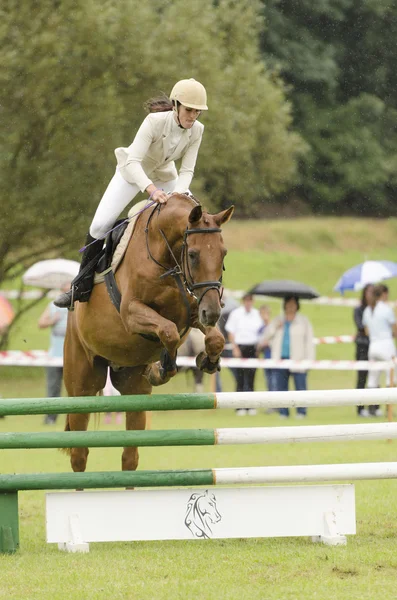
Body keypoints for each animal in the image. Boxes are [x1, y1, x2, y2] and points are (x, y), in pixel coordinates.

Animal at [63, 195, 234, 476]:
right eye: (193, 255)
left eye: (223, 253)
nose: (212, 312)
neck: (166, 259)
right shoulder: (131, 313)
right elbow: (168, 331)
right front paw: (161, 369)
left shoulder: (192, 312)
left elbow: (214, 339)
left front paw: (207, 361)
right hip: (82, 387)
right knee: (79, 455)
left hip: (134, 391)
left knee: (130, 457)